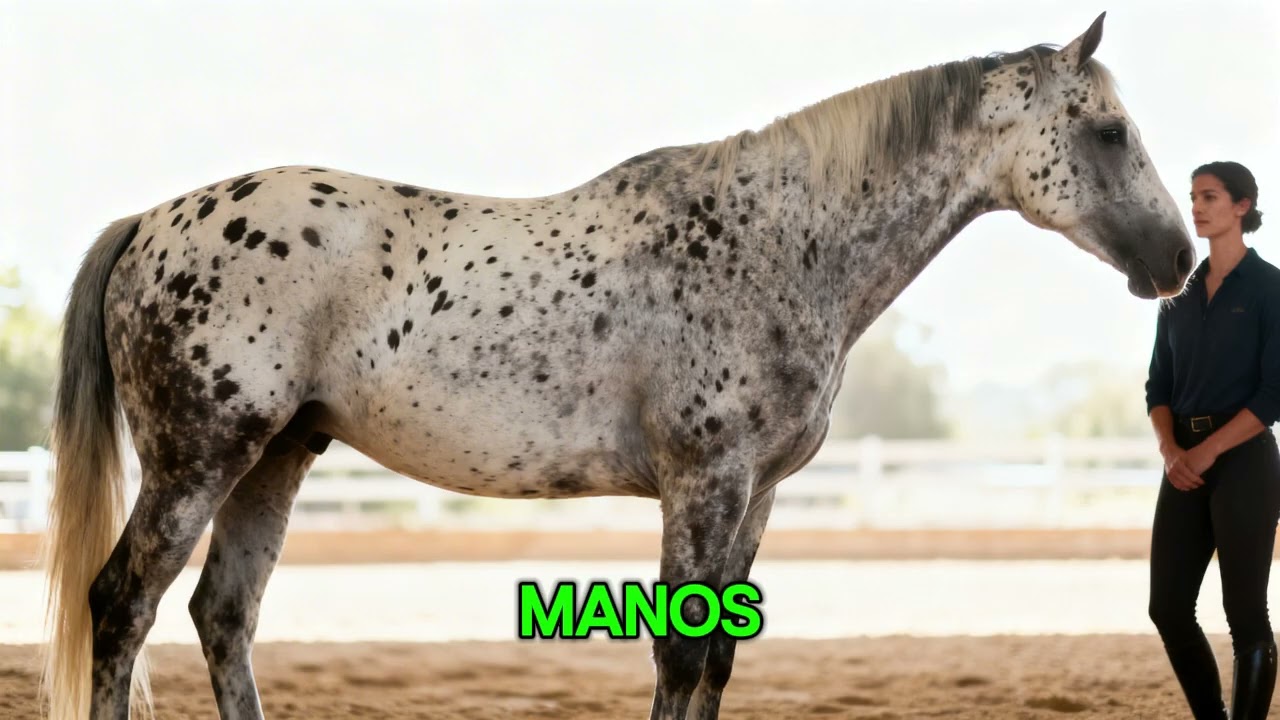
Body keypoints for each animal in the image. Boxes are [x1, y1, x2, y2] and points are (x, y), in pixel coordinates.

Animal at [43, 12, 1193, 720]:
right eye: (1106, 130)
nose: (1177, 260)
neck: (775, 241)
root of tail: (152, 221)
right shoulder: (701, 483)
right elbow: (678, 650)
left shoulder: (755, 494)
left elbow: (718, 653)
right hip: (200, 458)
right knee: (124, 604)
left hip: (277, 456)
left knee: (222, 616)